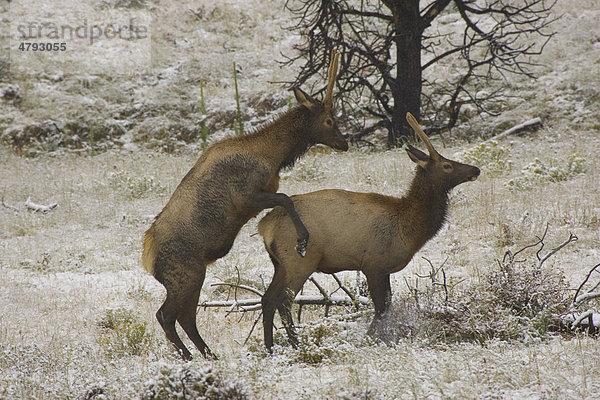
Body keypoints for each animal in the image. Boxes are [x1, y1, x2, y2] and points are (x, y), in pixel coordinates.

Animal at [142, 50, 346, 360]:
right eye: (330, 120)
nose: (345, 143)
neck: (273, 155)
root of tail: (148, 259)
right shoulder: (247, 196)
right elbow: (286, 198)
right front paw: (302, 240)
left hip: (192, 277)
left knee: (186, 316)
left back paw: (210, 355)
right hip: (185, 274)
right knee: (165, 315)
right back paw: (189, 357)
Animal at [255, 112, 480, 350]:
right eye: (447, 165)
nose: (475, 170)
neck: (408, 230)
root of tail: (264, 226)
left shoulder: (385, 269)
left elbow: (387, 306)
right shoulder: (374, 264)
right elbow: (381, 308)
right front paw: (369, 339)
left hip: (280, 263)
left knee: (267, 298)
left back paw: (270, 347)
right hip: (300, 261)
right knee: (283, 300)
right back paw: (296, 344)